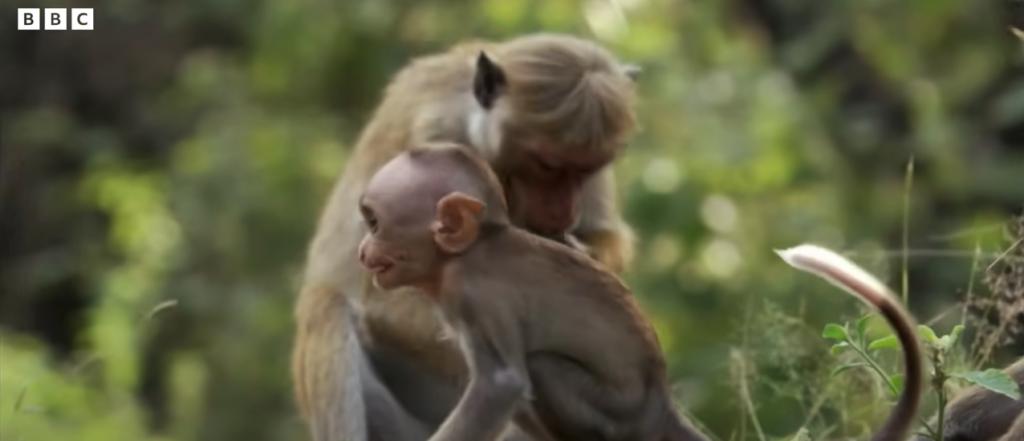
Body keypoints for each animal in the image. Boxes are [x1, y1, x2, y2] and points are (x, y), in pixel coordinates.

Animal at [292, 34, 638, 441]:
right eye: (547, 165)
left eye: (587, 169)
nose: (564, 211)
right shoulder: (432, 138)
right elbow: (392, 301)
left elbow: (604, 246)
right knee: (325, 303)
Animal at [354, 146, 925, 441]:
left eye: (374, 221)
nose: (362, 252)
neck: (470, 250)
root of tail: (661, 404)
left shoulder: (473, 296)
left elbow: (501, 383)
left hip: (614, 412)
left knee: (541, 367)